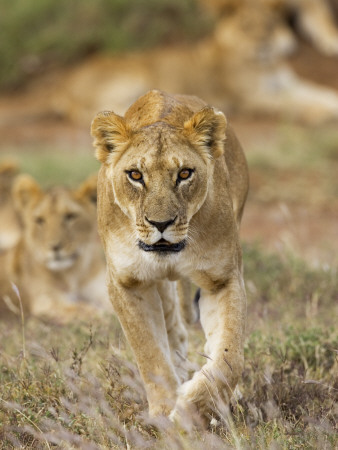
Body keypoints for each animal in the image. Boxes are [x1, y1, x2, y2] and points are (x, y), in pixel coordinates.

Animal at [0, 174, 109, 322]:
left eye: (70, 216)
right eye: (40, 220)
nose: (55, 247)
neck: (73, 273)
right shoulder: (46, 302)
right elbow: (82, 309)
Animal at [91, 90, 250, 422]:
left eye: (184, 174)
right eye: (135, 175)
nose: (160, 223)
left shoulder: (223, 278)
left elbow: (229, 356)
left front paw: (192, 408)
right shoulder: (127, 283)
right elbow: (149, 353)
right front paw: (165, 412)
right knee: (173, 328)